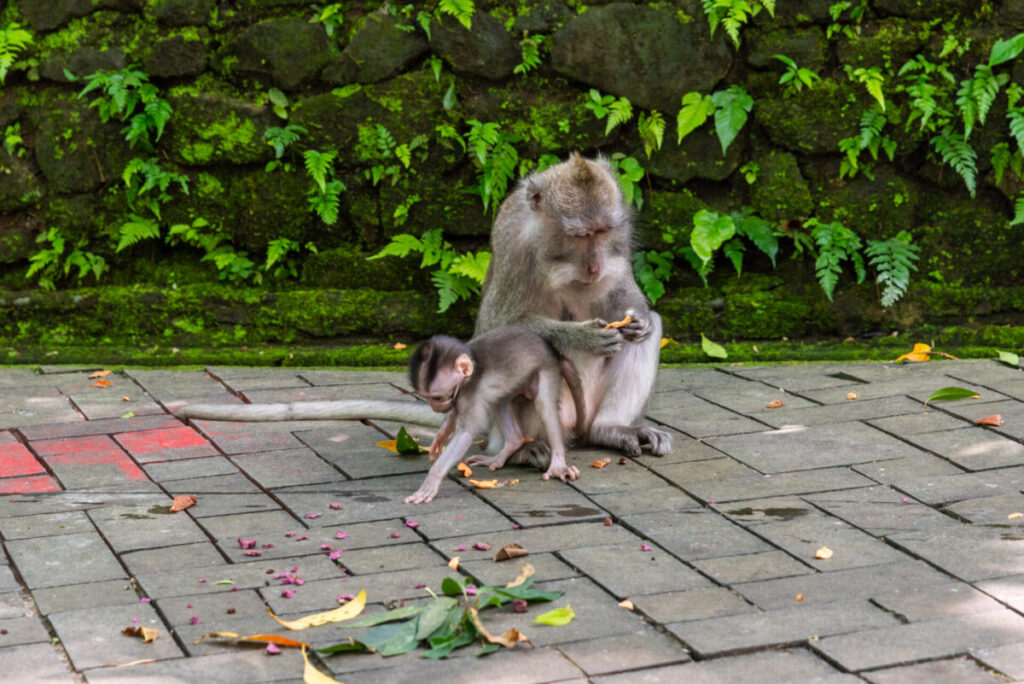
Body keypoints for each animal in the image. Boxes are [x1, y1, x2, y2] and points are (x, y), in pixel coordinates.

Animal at [178, 153, 669, 460]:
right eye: (580, 235)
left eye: (603, 232)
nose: (593, 264)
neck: (554, 256)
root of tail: (574, 428)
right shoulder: (515, 248)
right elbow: (501, 326)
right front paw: (582, 335)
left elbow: (632, 305)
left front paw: (635, 317)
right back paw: (520, 449)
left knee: (648, 334)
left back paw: (611, 429)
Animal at [404, 326, 587, 504]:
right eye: (427, 397)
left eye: (436, 397)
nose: (435, 407)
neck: (470, 373)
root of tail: (554, 352)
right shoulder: (458, 396)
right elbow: (454, 415)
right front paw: (441, 435)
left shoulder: (470, 394)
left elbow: (466, 434)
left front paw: (431, 482)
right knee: (500, 401)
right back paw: (506, 449)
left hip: (547, 369)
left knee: (544, 406)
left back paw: (557, 465)